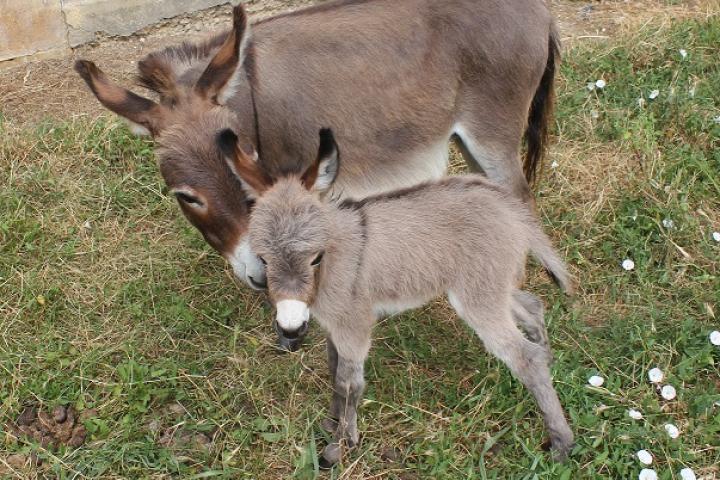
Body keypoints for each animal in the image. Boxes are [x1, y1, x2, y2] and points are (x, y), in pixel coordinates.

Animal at [219, 127, 572, 464]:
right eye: (264, 259)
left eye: (316, 257)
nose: (290, 330)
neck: (335, 256)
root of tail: (510, 207)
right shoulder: (333, 326)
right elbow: (334, 370)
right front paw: (333, 423)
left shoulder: (354, 325)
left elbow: (350, 383)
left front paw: (339, 447)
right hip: (487, 287)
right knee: (532, 306)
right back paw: (551, 363)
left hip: (477, 296)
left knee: (525, 356)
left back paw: (562, 443)